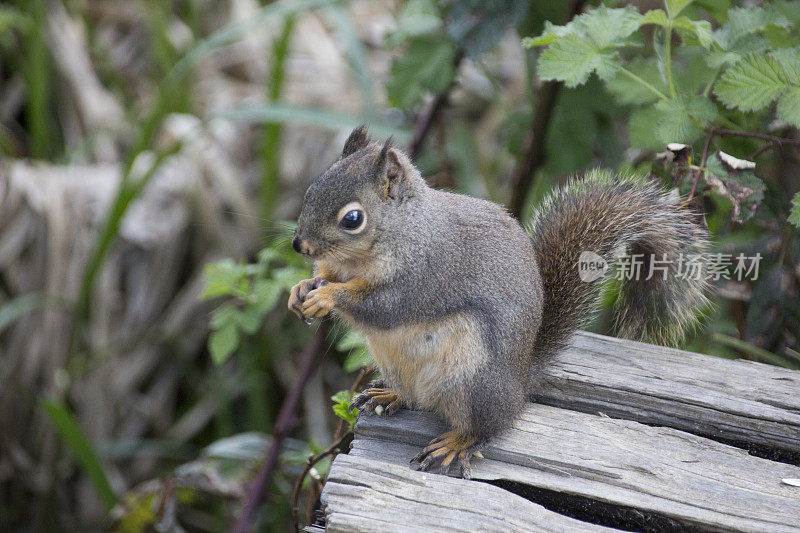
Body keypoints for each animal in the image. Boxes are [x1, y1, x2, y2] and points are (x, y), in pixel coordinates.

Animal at [286, 125, 708, 478]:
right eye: (310, 191)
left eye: (353, 219)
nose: (299, 245)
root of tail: (520, 382)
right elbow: (328, 275)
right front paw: (302, 289)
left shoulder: (424, 277)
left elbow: (382, 306)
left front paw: (326, 295)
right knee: (418, 399)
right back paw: (389, 394)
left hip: (473, 381)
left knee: (488, 426)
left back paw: (456, 443)